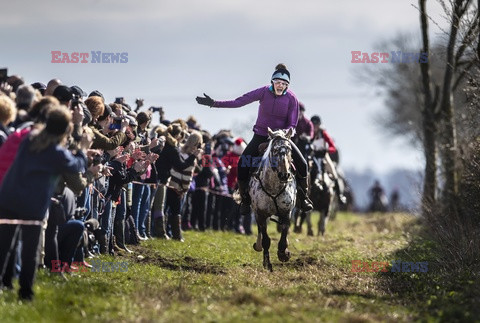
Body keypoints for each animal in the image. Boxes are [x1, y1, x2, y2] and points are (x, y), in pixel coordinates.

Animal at [248, 128, 296, 272]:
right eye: (274, 150)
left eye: (289, 149)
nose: (284, 175)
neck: (274, 187)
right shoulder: (261, 214)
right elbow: (266, 240)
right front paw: (267, 264)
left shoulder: (286, 212)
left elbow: (284, 235)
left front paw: (283, 254)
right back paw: (258, 245)